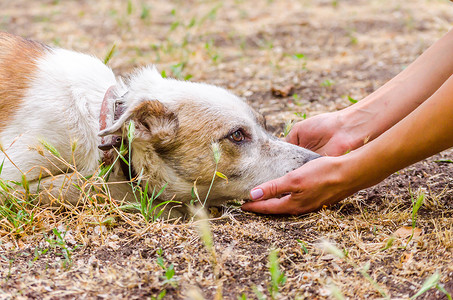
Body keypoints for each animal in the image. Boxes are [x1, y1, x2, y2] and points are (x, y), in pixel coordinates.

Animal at [0, 31, 320, 217]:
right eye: (237, 135)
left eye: (264, 124)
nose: (317, 161)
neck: (99, 122)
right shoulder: (11, 180)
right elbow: (85, 185)